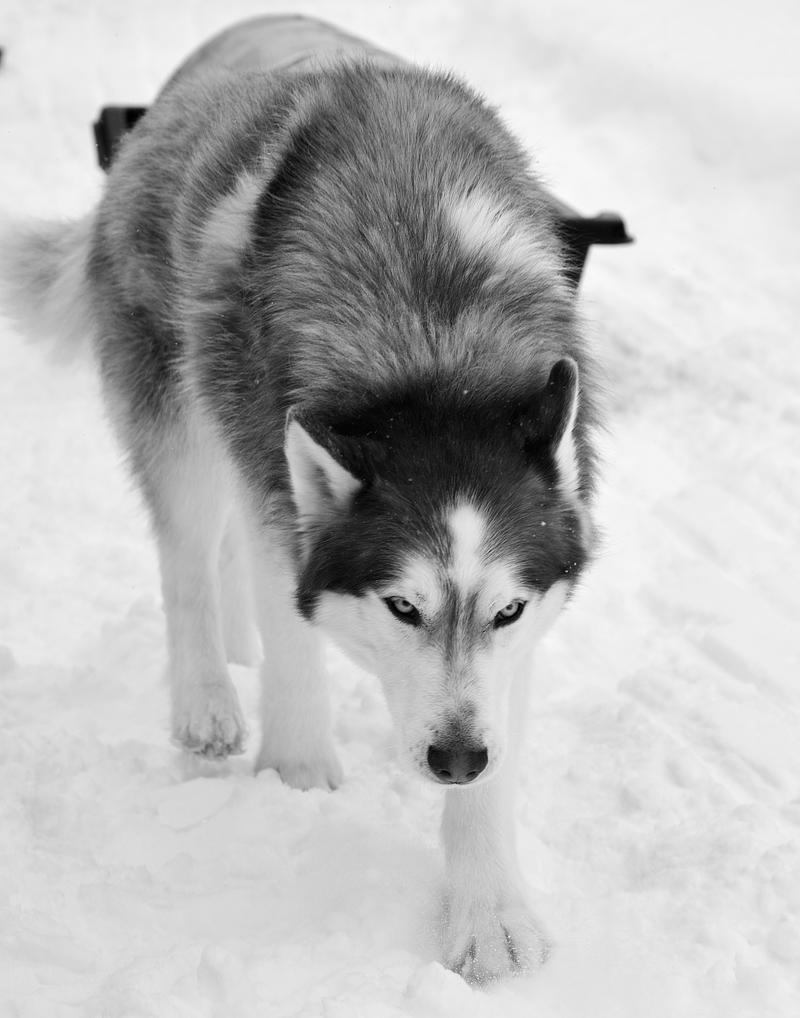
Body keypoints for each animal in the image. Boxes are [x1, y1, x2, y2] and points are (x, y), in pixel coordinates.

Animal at [3, 53, 600, 983]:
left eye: (507, 609)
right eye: (402, 607)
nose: (455, 758)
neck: (434, 355)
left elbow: (496, 761)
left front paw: (490, 914)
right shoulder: (275, 498)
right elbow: (291, 648)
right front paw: (297, 778)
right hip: (183, 415)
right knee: (187, 560)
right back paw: (208, 699)